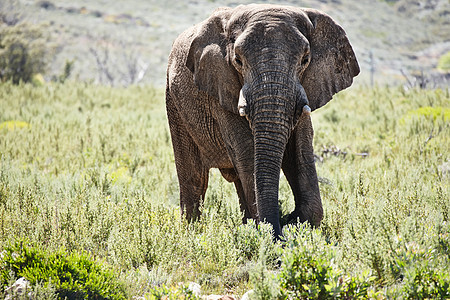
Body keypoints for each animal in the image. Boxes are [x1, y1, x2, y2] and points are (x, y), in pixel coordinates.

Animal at [165, 3, 358, 238]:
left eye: (305, 60)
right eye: (238, 61)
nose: (284, 221)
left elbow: (300, 150)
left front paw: (294, 224)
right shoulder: (220, 87)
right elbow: (247, 151)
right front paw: (274, 230)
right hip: (174, 103)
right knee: (195, 179)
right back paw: (192, 233)